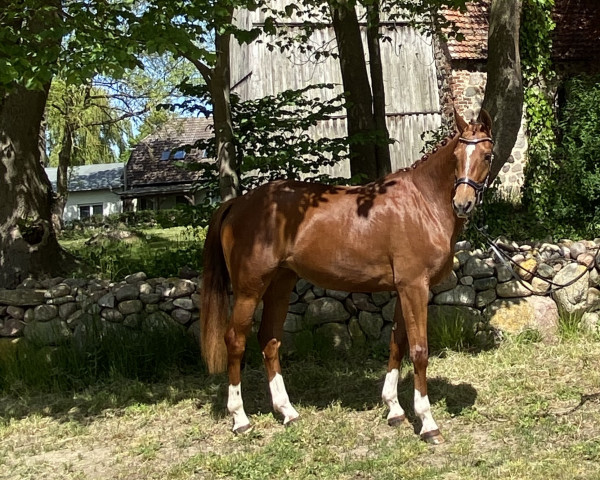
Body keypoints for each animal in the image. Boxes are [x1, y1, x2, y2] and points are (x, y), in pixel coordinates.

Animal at [200, 108, 492, 442]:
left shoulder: (404, 289)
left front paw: (394, 410)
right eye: (456, 155)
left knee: (269, 340)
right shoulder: (415, 287)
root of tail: (238, 203)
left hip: (280, 284)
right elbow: (419, 350)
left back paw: (287, 412)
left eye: (486, 155)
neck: (422, 204)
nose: (462, 203)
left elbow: (397, 343)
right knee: (235, 341)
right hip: (249, 289)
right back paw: (240, 418)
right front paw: (427, 422)